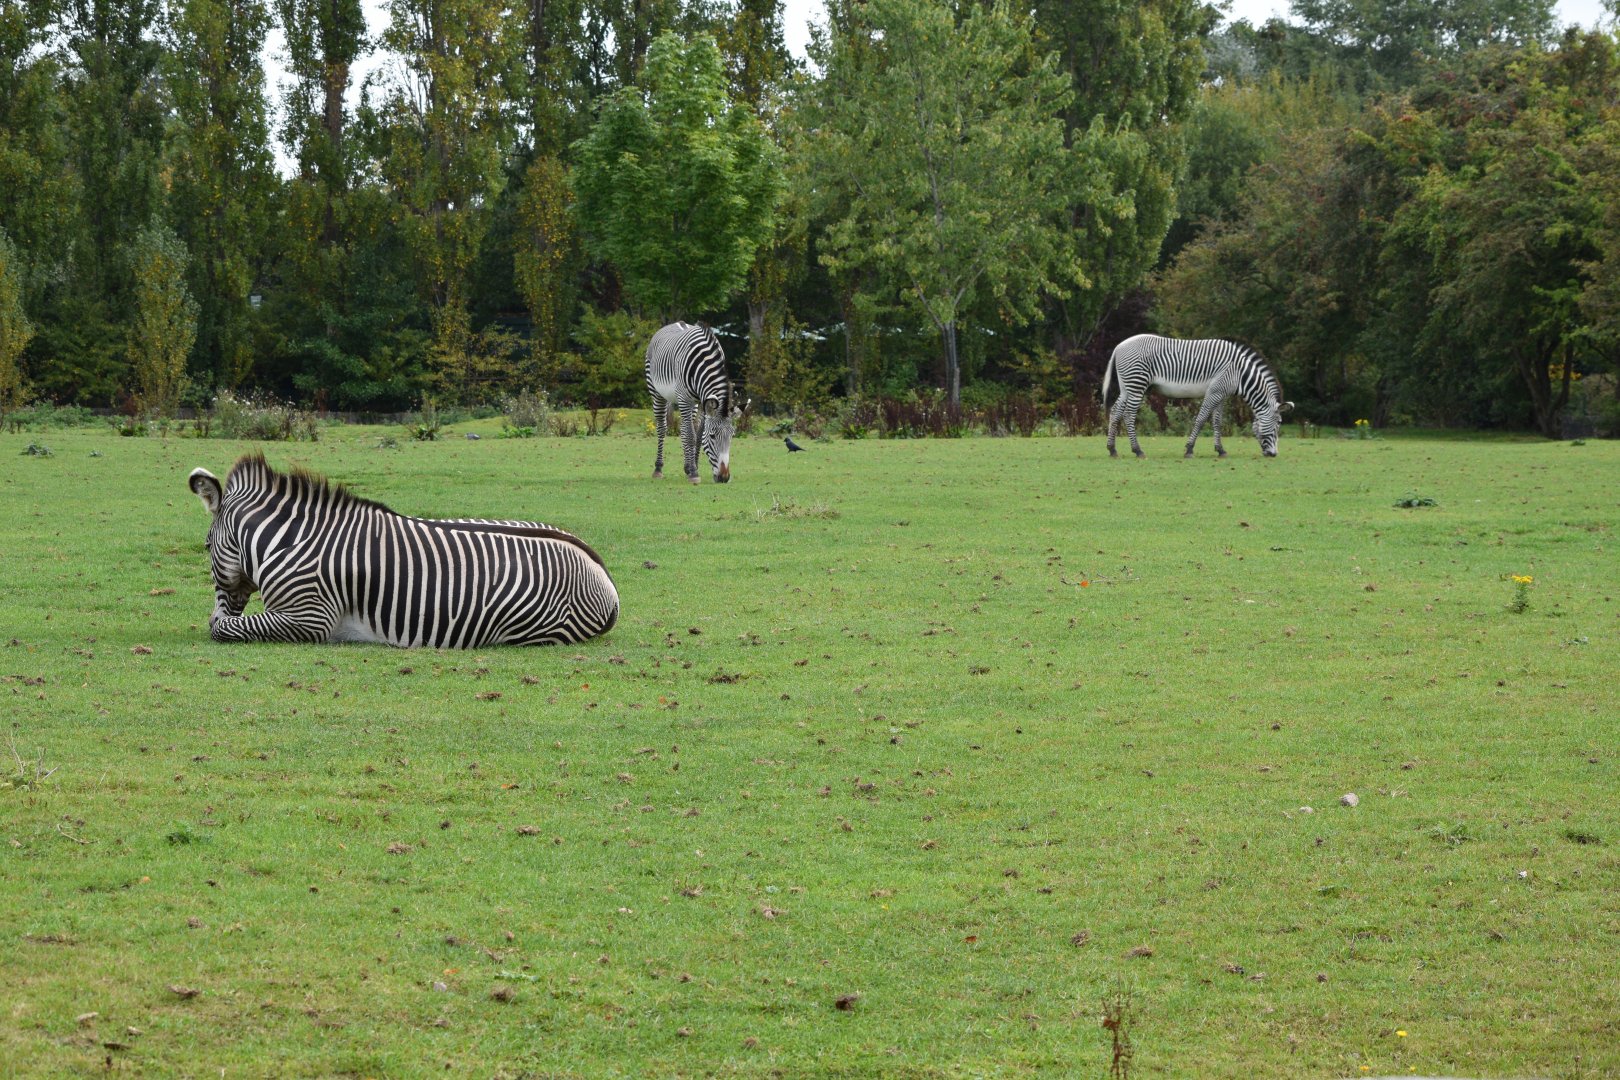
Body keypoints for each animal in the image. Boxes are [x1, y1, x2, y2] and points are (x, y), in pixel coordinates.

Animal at [186, 454, 619, 647]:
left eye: (206, 546)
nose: (226, 604)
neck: (291, 541)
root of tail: (605, 577)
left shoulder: (311, 616)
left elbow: (223, 627)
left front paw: (217, 620)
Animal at [645, 321, 734, 484]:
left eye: (732, 435)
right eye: (712, 436)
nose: (724, 478)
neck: (705, 362)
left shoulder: (703, 401)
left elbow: (697, 435)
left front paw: (694, 467)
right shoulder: (685, 399)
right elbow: (691, 436)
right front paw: (694, 473)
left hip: (693, 403)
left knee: (685, 428)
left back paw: (687, 466)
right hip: (657, 393)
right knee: (662, 427)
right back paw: (658, 469)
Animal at [1102, 334, 1294, 458]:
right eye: (1279, 423)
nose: (1274, 454)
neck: (1240, 374)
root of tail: (1119, 346)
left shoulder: (1222, 395)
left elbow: (1217, 422)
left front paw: (1220, 450)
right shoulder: (1214, 392)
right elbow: (1201, 419)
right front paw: (1189, 449)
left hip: (1127, 386)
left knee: (1116, 411)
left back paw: (1112, 450)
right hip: (1137, 384)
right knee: (1129, 414)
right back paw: (1137, 450)